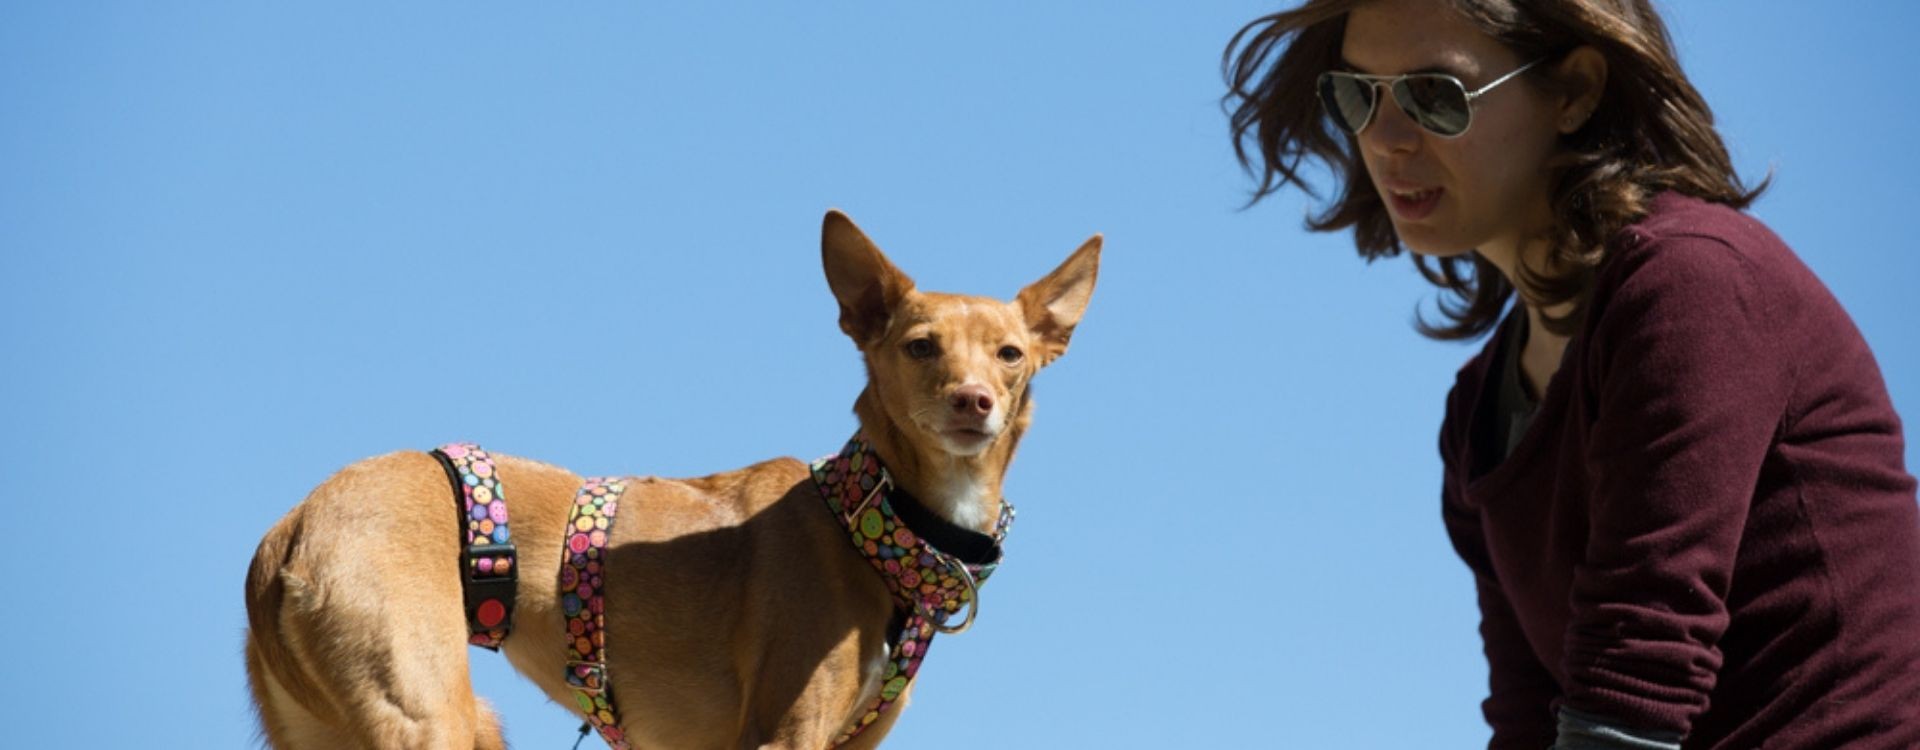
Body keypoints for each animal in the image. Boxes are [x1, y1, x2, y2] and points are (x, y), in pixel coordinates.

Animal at [247, 210, 1105, 750]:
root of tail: (290, 527)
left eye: (1010, 355)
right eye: (921, 346)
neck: (873, 523)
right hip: (433, 717)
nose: (974, 401)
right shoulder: (780, 736)